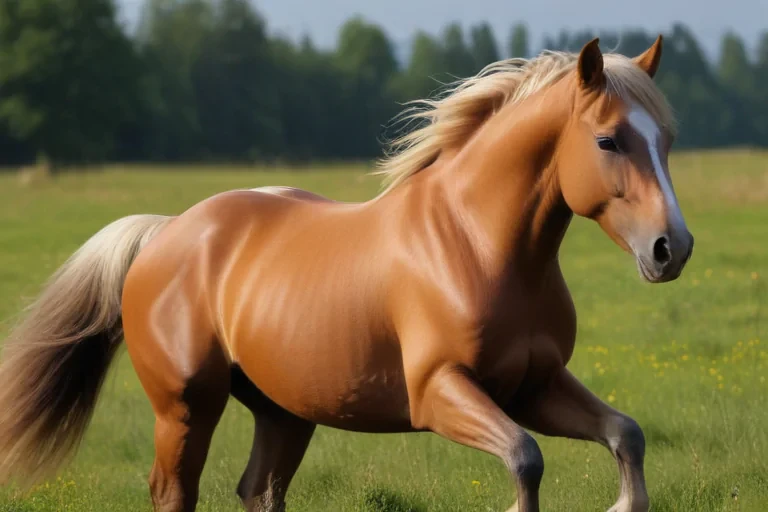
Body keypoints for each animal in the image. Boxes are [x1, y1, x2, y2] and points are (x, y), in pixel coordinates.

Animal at [0, 36, 693, 512]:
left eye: (666, 139)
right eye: (607, 141)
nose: (672, 248)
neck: (477, 246)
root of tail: (167, 231)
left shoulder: (535, 386)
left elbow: (627, 436)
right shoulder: (441, 391)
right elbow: (526, 459)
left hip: (283, 411)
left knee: (258, 490)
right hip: (186, 407)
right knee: (174, 493)